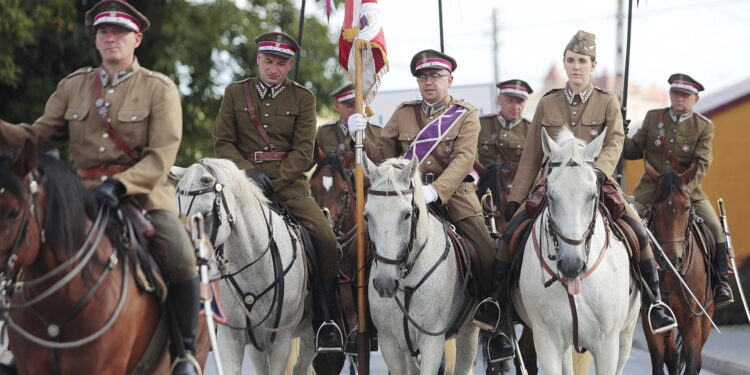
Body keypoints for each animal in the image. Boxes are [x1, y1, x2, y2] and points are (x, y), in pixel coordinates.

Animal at [366, 156, 482, 375]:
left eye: (407, 214)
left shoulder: (431, 343)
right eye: (367, 215)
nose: (385, 283)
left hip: (469, 331)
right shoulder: (390, 344)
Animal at [516, 128, 644, 374]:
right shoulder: (547, 341)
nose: (571, 264)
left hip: (627, 333)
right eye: (551, 195)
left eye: (592, 195)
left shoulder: (607, 345)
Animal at [640, 162, 716, 375]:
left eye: (687, 207)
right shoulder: (651, 320)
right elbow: (659, 363)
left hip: (706, 319)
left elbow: (691, 363)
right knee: (672, 358)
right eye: (654, 208)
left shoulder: (692, 321)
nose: (671, 259)